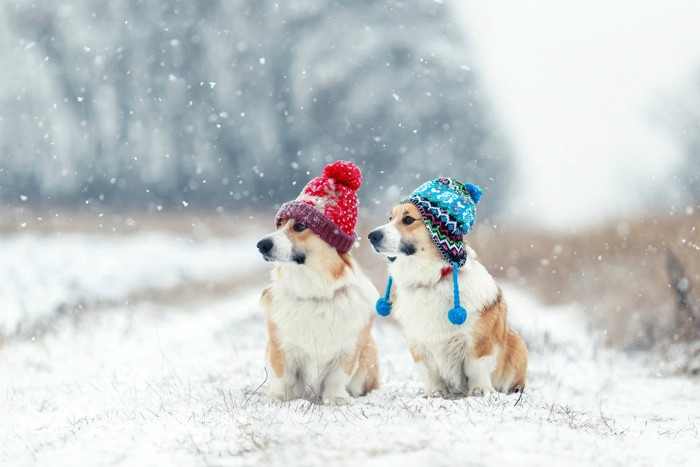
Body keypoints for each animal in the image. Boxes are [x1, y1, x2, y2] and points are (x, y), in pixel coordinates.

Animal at [256, 159, 378, 404]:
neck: (315, 291)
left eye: (300, 226)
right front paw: (277, 398)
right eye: (280, 225)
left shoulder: (348, 351)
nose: (261, 245)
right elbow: (282, 378)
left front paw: (337, 399)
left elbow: (336, 379)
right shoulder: (280, 347)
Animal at [370, 177, 528, 396]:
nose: (371, 236)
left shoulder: (478, 342)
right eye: (390, 217)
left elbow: (476, 367)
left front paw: (480, 391)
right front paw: (435, 393)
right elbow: (430, 372)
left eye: (408, 219)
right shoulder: (419, 345)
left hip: (517, 342)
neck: (432, 279)